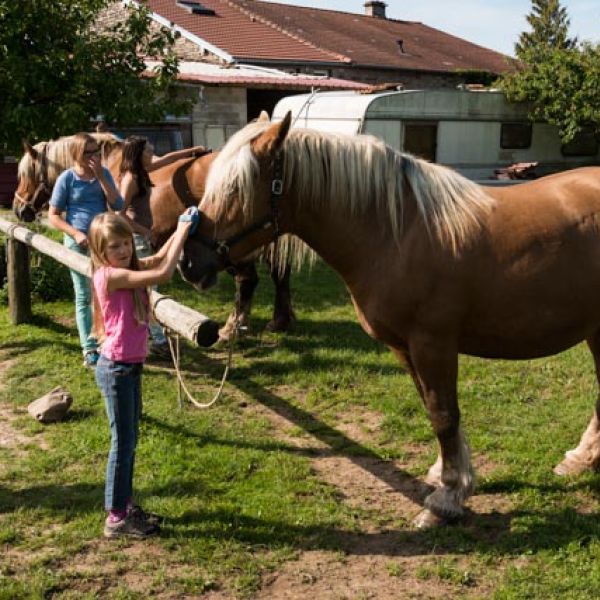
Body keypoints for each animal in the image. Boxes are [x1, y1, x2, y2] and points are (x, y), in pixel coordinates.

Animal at [12, 132, 298, 340]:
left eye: (26, 173)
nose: (18, 208)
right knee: (279, 274)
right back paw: (279, 321)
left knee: (247, 280)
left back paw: (232, 328)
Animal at [180, 111, 600, 524]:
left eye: (235, 190)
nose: (188, 263)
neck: (396, 233)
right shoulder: (405, 347)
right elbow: (434, 410)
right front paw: (448, 476)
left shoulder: (433, 344)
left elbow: (444, 414)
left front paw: (447, 497)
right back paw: (581, 459)